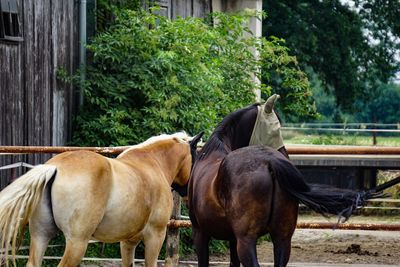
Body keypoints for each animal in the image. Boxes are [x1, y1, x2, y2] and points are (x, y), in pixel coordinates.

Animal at [0, 132, 203, 267]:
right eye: (197, 156)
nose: (192, 194)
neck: (154, 164)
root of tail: (55, 167)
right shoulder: (155, 236)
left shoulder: (128, 242)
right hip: (77, 243)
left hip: (41, 236)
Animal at [188, 95, 376, 267]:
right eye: (275, 129)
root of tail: (270, 161)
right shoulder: (232, 239)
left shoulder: (201, 233)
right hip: (282, 239)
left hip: (246, 240)